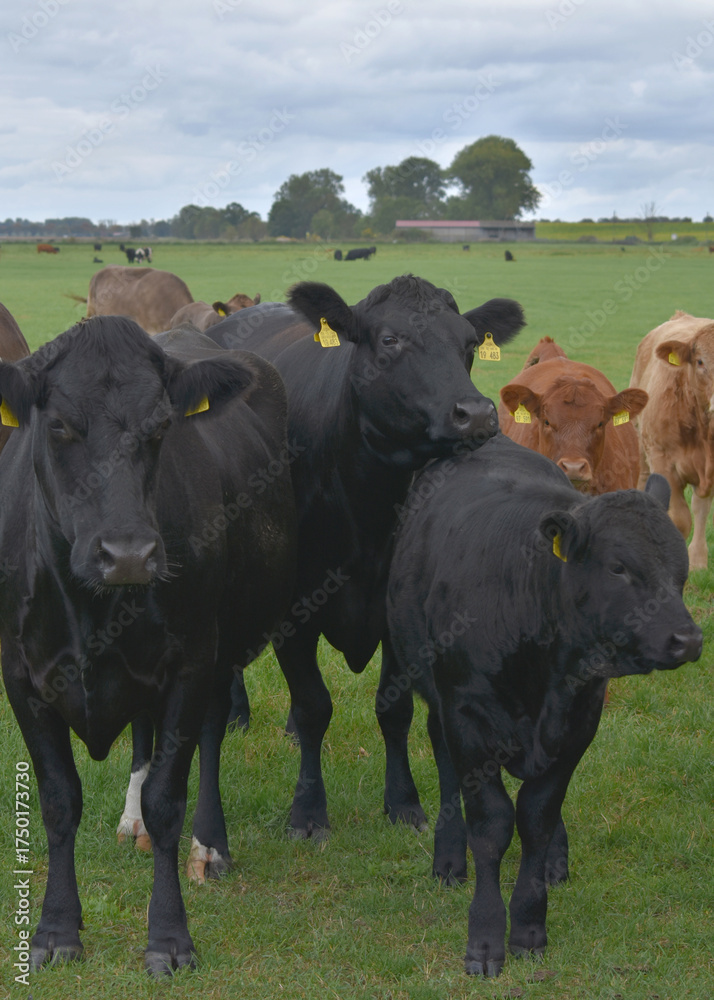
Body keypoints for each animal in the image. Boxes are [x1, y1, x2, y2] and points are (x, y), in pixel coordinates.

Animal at [0, 316, 296, 974]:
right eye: (59, 425)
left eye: (162, 426)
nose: (129, 554)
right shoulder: (21, 674)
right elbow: (58, 799)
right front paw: (56, 931)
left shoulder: (190, 662)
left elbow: (169, 799)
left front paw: (169, 937)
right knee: (141, 732)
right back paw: (129, 818)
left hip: (220, 646)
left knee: (208, 733)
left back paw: (209, 846)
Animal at [204, 276, 526, 838]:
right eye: (390, 339)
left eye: (468, 344)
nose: (477, 415)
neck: (367, 505)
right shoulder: (295, 613)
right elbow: (315, 705)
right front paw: (308, 812)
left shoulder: (398, 611)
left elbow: (392, 711)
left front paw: (403, 802)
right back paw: (239, 714)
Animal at [386, 434, 702, 976]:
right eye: (618, 567)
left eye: (679, 569)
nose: (687, 639)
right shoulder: (466, 715)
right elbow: (492, 825)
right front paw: (486, 937)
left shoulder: (579, 721)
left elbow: (538, 817)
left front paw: (530, 926)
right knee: (443, 759)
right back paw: (448, 858)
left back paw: (555, 859)